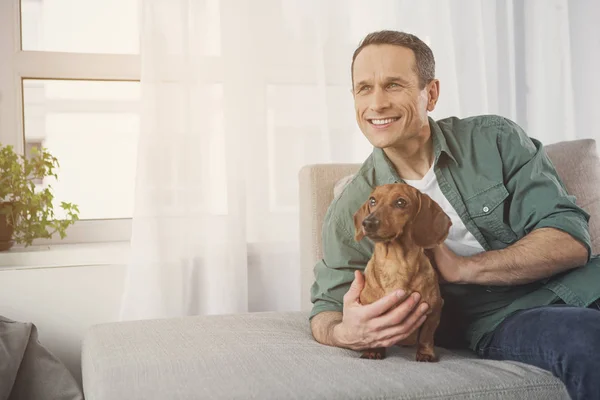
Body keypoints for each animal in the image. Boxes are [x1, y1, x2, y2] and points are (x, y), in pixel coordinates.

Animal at [352, 183, 450, 360]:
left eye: (400, 202)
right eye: (372, 200)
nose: (367, 222)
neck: (395, 265)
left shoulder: (434, 309)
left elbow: (426, 336)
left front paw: (425, 353)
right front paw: (374, 350)